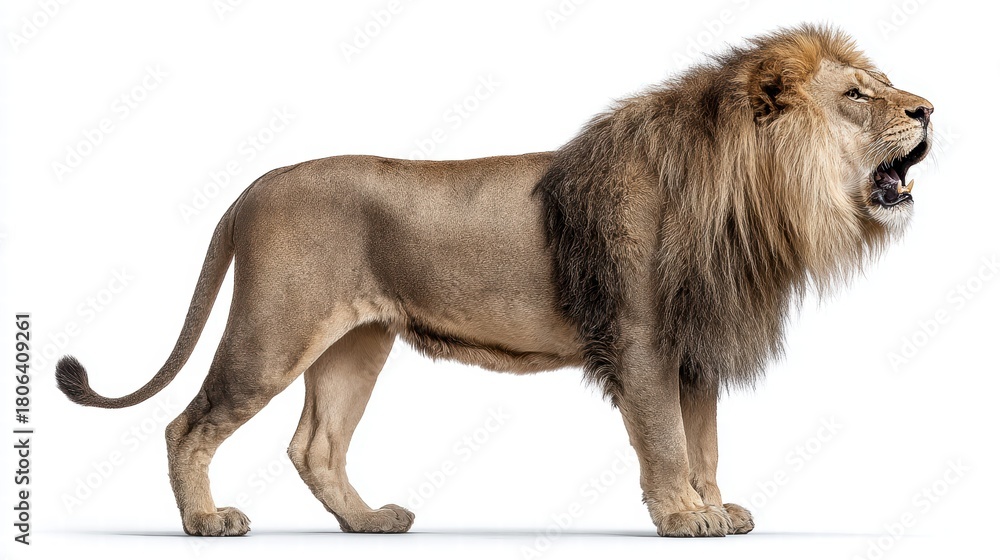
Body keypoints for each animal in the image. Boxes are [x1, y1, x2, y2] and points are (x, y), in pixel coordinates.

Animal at [56, 25, 933, 537]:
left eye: (881, 84)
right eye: (858, 94)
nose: (929, 108)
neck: (753, 199)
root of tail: (252, 187)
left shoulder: (694, 348)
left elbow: (704, 440)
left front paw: (714, 507)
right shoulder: (642, 341)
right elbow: (665, 442)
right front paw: (685, 517)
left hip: (356, 344)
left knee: (315, 446)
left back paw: (367, 521)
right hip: (274, 329)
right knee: (187, 424)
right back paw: (206, 522)